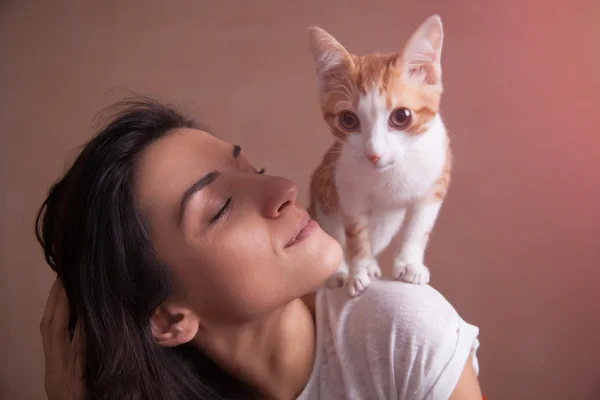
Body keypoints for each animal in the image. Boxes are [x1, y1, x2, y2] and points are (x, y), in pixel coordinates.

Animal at [310, 14, 450, 296]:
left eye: (401, 116)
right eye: (348, 120)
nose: (374, 154)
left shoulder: (436, 181)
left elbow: (419, 227)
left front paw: (409, 263)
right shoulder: (346, 188)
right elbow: (355, 231)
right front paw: (360, 270)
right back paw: (341, 272)